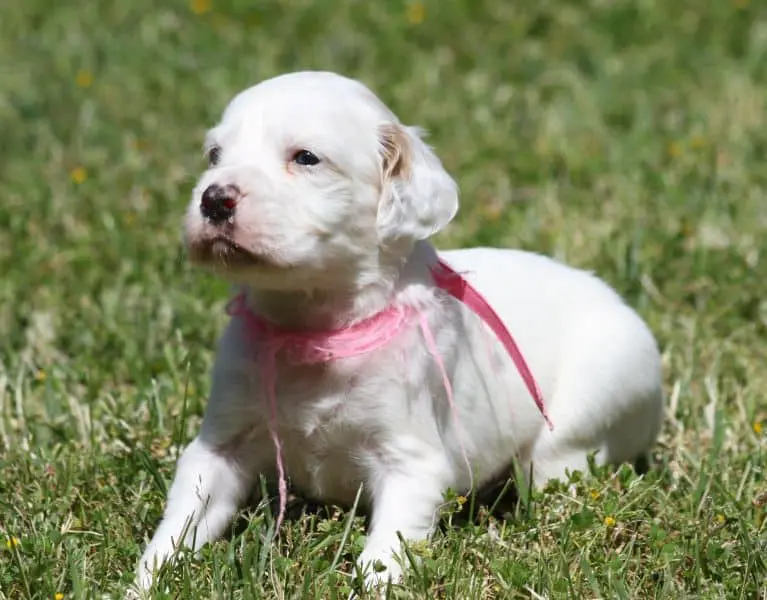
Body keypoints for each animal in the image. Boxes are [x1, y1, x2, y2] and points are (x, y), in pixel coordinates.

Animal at [135, 70, 664, 592]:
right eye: (214, 155)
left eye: (306, 157)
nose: (213, 199)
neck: (314, 328)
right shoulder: (221, 443)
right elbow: (184, 514)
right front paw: (145, 578)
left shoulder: (411, 459)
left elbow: (385, 552)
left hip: (589, 412)